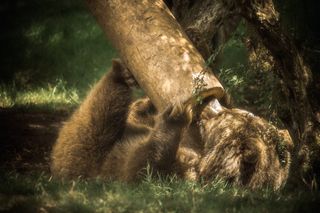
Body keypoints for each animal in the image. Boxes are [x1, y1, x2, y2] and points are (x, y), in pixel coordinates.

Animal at [51, 58, 294, 190]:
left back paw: (118, 76)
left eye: (227, 118)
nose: (216, 110)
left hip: (84, 151)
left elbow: (141, 169)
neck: (204, 157)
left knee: (102, 111)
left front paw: (176, 115)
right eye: (244, 113)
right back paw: (130, 81)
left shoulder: (179, 174)